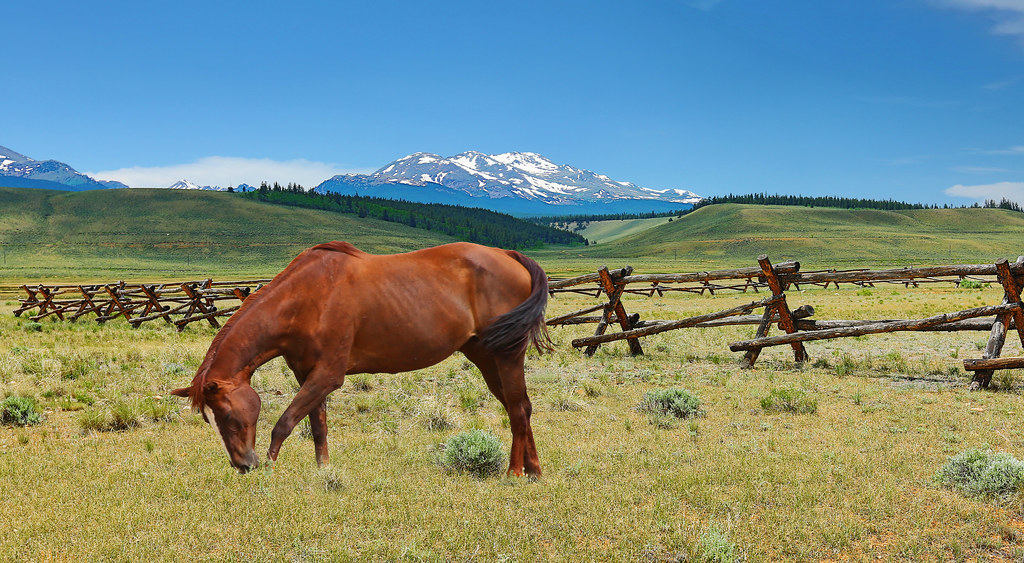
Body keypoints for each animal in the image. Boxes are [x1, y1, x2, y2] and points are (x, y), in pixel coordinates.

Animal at [170, 241, 550, 476]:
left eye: (228, 416)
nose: (243, 465)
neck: (306, 298)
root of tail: (509, 255)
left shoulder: (327, 376)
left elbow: (285, 423)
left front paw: (272, 467)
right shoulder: (307, 375)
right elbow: (318, 426)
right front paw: (323, 471)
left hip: (507, 356)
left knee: (518, 409)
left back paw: (514, 472)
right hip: (485, 358)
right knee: (520, 406)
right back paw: (533, 470)